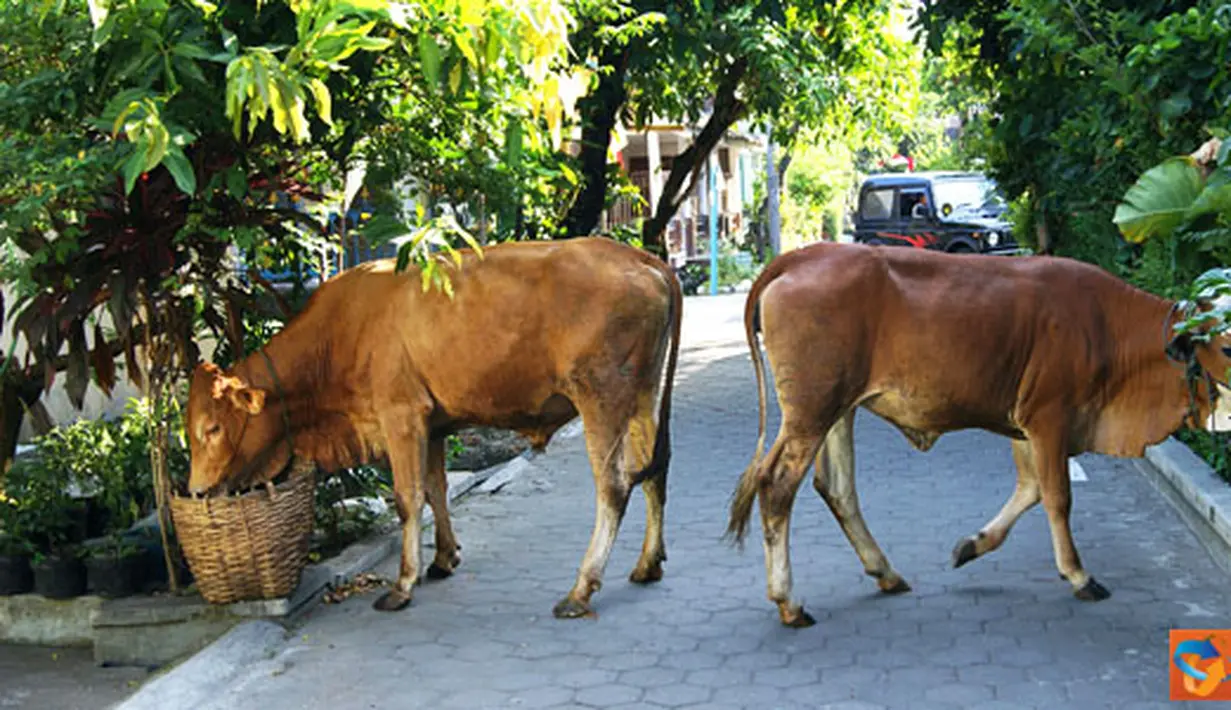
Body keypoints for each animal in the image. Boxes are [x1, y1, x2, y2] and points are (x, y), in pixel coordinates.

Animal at [185, 238, 684, 615]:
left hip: (602, 398)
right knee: (656, 470)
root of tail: (643, 258)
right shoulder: (434, 423)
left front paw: (403, 584)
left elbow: (407, 499)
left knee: (614, 485)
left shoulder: (400, 416)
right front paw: (444, 559)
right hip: (645, 396)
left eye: (212, 428)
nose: (195, 490)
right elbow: (435, 489)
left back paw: (581, 588)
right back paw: (648, 566)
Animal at [723, 242, 1231, 625]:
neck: (1108, 328)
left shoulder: (1025, 425)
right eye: (1225, 345)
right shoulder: (1049, 418)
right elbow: (1057, 497)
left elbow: (1030, 490)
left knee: (837, 488)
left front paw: (972, 545)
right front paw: (1078, 575)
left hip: (837, 409)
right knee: (777, 486)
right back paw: (789, 602)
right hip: (809, 413)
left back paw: (885, 572)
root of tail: (804, 255)